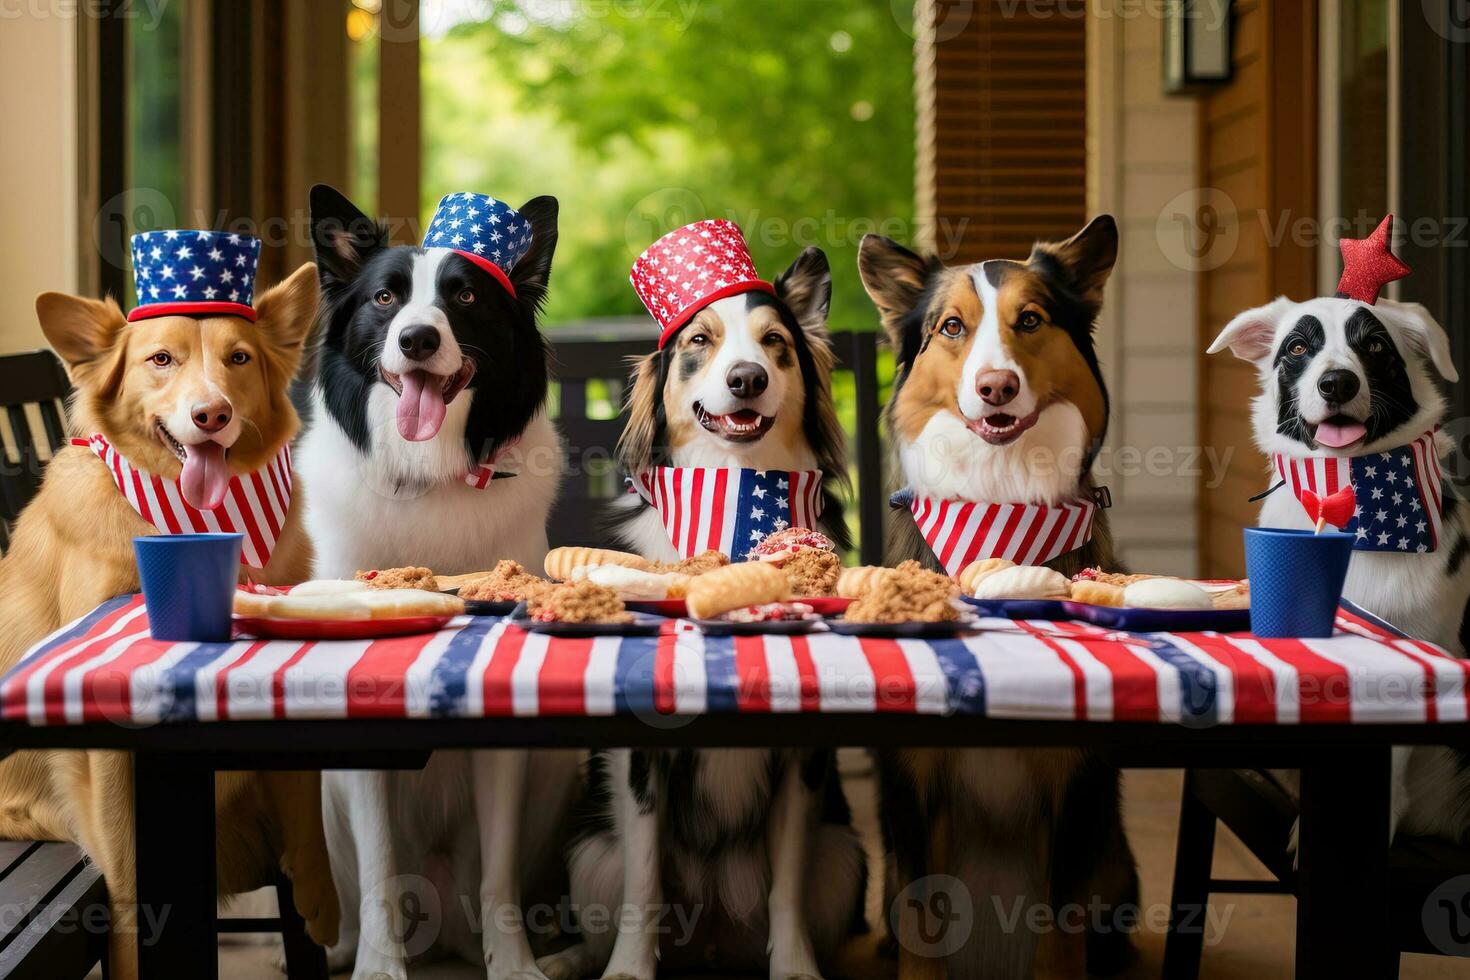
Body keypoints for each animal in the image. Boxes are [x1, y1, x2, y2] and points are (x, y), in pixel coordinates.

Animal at [301, 189, 582, 980]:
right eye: (386, 298)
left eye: (464, 297)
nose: (419, 340)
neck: (428, 472)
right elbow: (378, 871)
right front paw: (376, 967)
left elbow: (499, 874)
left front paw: (514, 964)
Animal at [570, 221, 870, 980]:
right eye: (700, 341)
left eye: (775, 343)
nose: (747, 380)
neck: (736, 486)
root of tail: (710, 940)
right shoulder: (640, 763)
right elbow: (644, 881)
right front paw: (628, 971)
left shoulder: (803, 767)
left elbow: (787, 885)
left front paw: (795, 969)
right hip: (589, 855)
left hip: (843, 857)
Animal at [858, 215, 1140, 980]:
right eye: (952, 326)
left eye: (1032, 320)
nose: (995, 387)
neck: (999, 490)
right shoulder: (915, 784)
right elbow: (922, 921)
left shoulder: (1077, 787)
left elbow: (1059, 930)